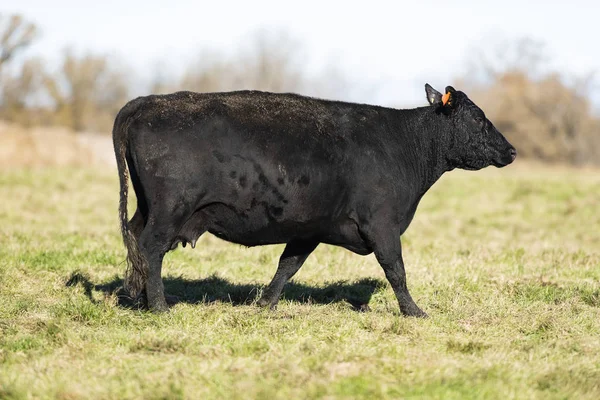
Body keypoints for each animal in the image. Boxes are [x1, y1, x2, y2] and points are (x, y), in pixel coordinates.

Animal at [113, 83, 516, 316]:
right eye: (478, 120)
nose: (511, 150)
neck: (403, 145)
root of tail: (148, 101)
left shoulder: (309, 229)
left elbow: (287, 266)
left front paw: (264, 305)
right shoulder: (382, 224)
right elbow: (396, 270)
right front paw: (414, 312)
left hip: (149, 208)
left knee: (135, 240)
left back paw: (137, 297)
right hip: (170, 209)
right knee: (150, 246)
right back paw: (159, 307)